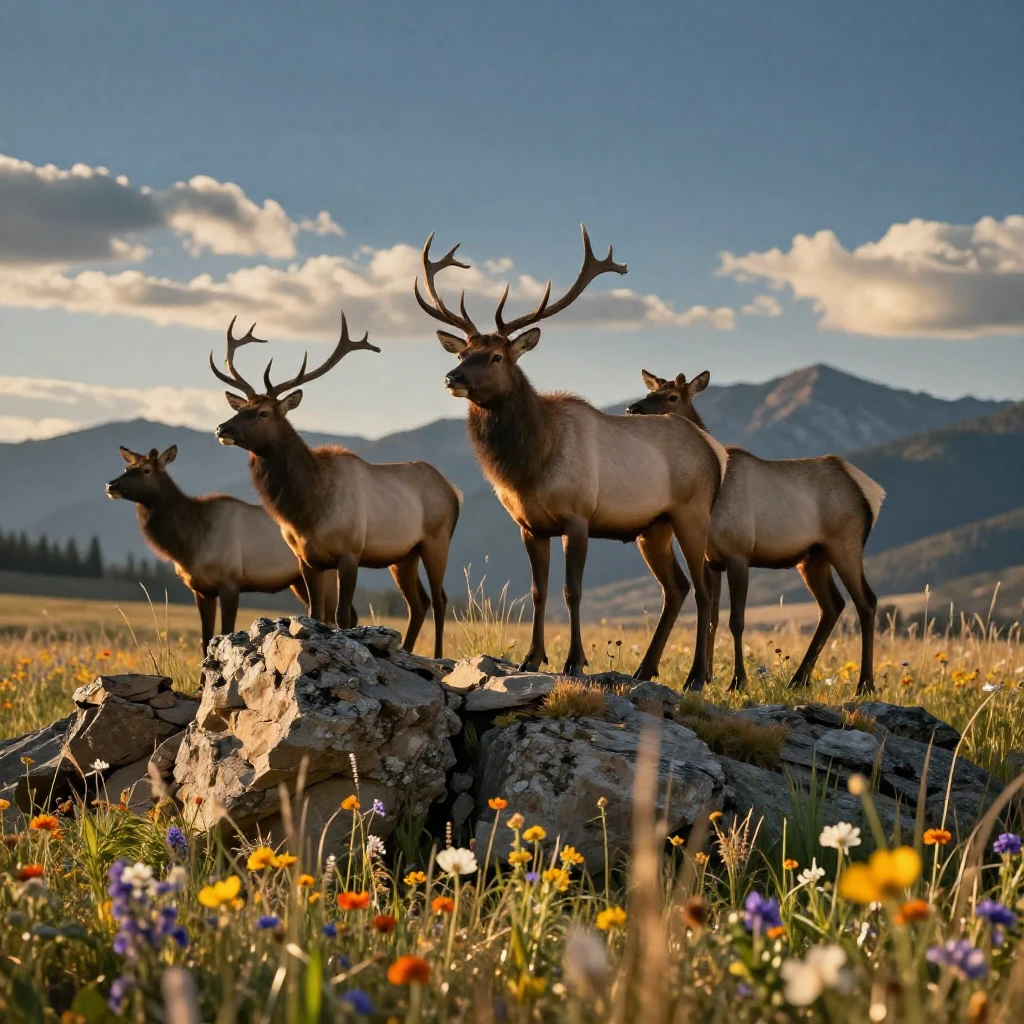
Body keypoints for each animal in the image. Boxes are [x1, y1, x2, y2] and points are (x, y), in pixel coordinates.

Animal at [105, 444, 341, 653]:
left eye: (146, 470)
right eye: (127, 468)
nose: (111, 485)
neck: (188, 544)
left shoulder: (230, 583)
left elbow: (226, 632)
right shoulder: (202, 590)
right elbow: (205, 640)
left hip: (328, 576)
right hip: (299, 581)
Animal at [210, 313, 462, 658]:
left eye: (263, 412)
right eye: (240, 408)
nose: (222, 428)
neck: (306, 510)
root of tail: (454, 492)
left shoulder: (350, 551)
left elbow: (343, 615)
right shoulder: (306, 559)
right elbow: (315, 613)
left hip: (437, 540)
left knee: (439, 600)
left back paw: (436, 656)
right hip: (403, 555)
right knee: (418, 603)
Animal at [415, 225, 728, 688]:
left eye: (495, 356)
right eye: (460, 353)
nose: (452, 377)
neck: (529, 467)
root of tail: (715, 450)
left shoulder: (578, 517)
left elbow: (572, 590)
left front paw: (575, 661)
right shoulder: (529, 526)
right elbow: (537, 591)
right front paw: (531, 659)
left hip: (692, 512)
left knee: (704, 587)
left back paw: (696, 677)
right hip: (653, 528)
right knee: (677, 587)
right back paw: (645, 668)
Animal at [625, 369, 885, 695]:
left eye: (672, 397)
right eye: (650, 392)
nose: (632, 409)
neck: (715, 500)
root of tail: (874, 493)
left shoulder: (739, 553)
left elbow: (736, 620)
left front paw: (737, 681)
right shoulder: (712, 559)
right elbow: (713, 617)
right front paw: (706, 676)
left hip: (845, 545)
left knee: (867, 602)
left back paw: (865, 684)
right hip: (813, 558)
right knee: (832, 605)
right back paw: (798, 679)